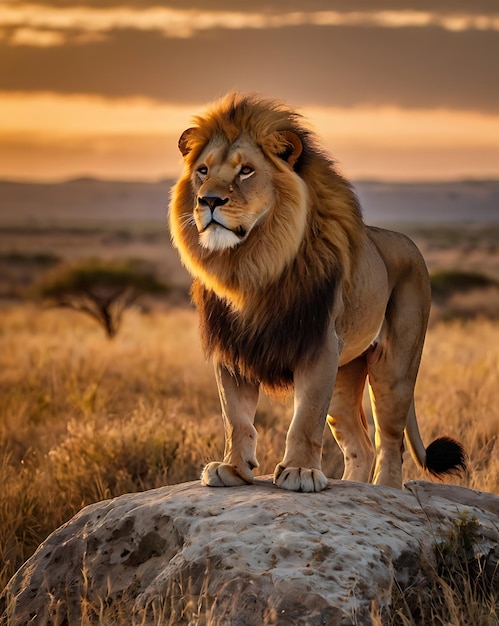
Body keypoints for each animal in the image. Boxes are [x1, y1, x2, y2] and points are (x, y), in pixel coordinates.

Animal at [169, 91, 468, 492]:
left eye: (246, 170)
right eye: (203, 171)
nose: (208, 201)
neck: (251, 265)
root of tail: (408, 243)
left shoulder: (319, 344)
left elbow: (306, 416)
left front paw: (298, 471)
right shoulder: (231, 347)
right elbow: (235, 415)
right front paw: (232, 468)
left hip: (393, 366)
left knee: (390, 440)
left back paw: (385, 490)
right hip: (344, 372)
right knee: (359, 444)